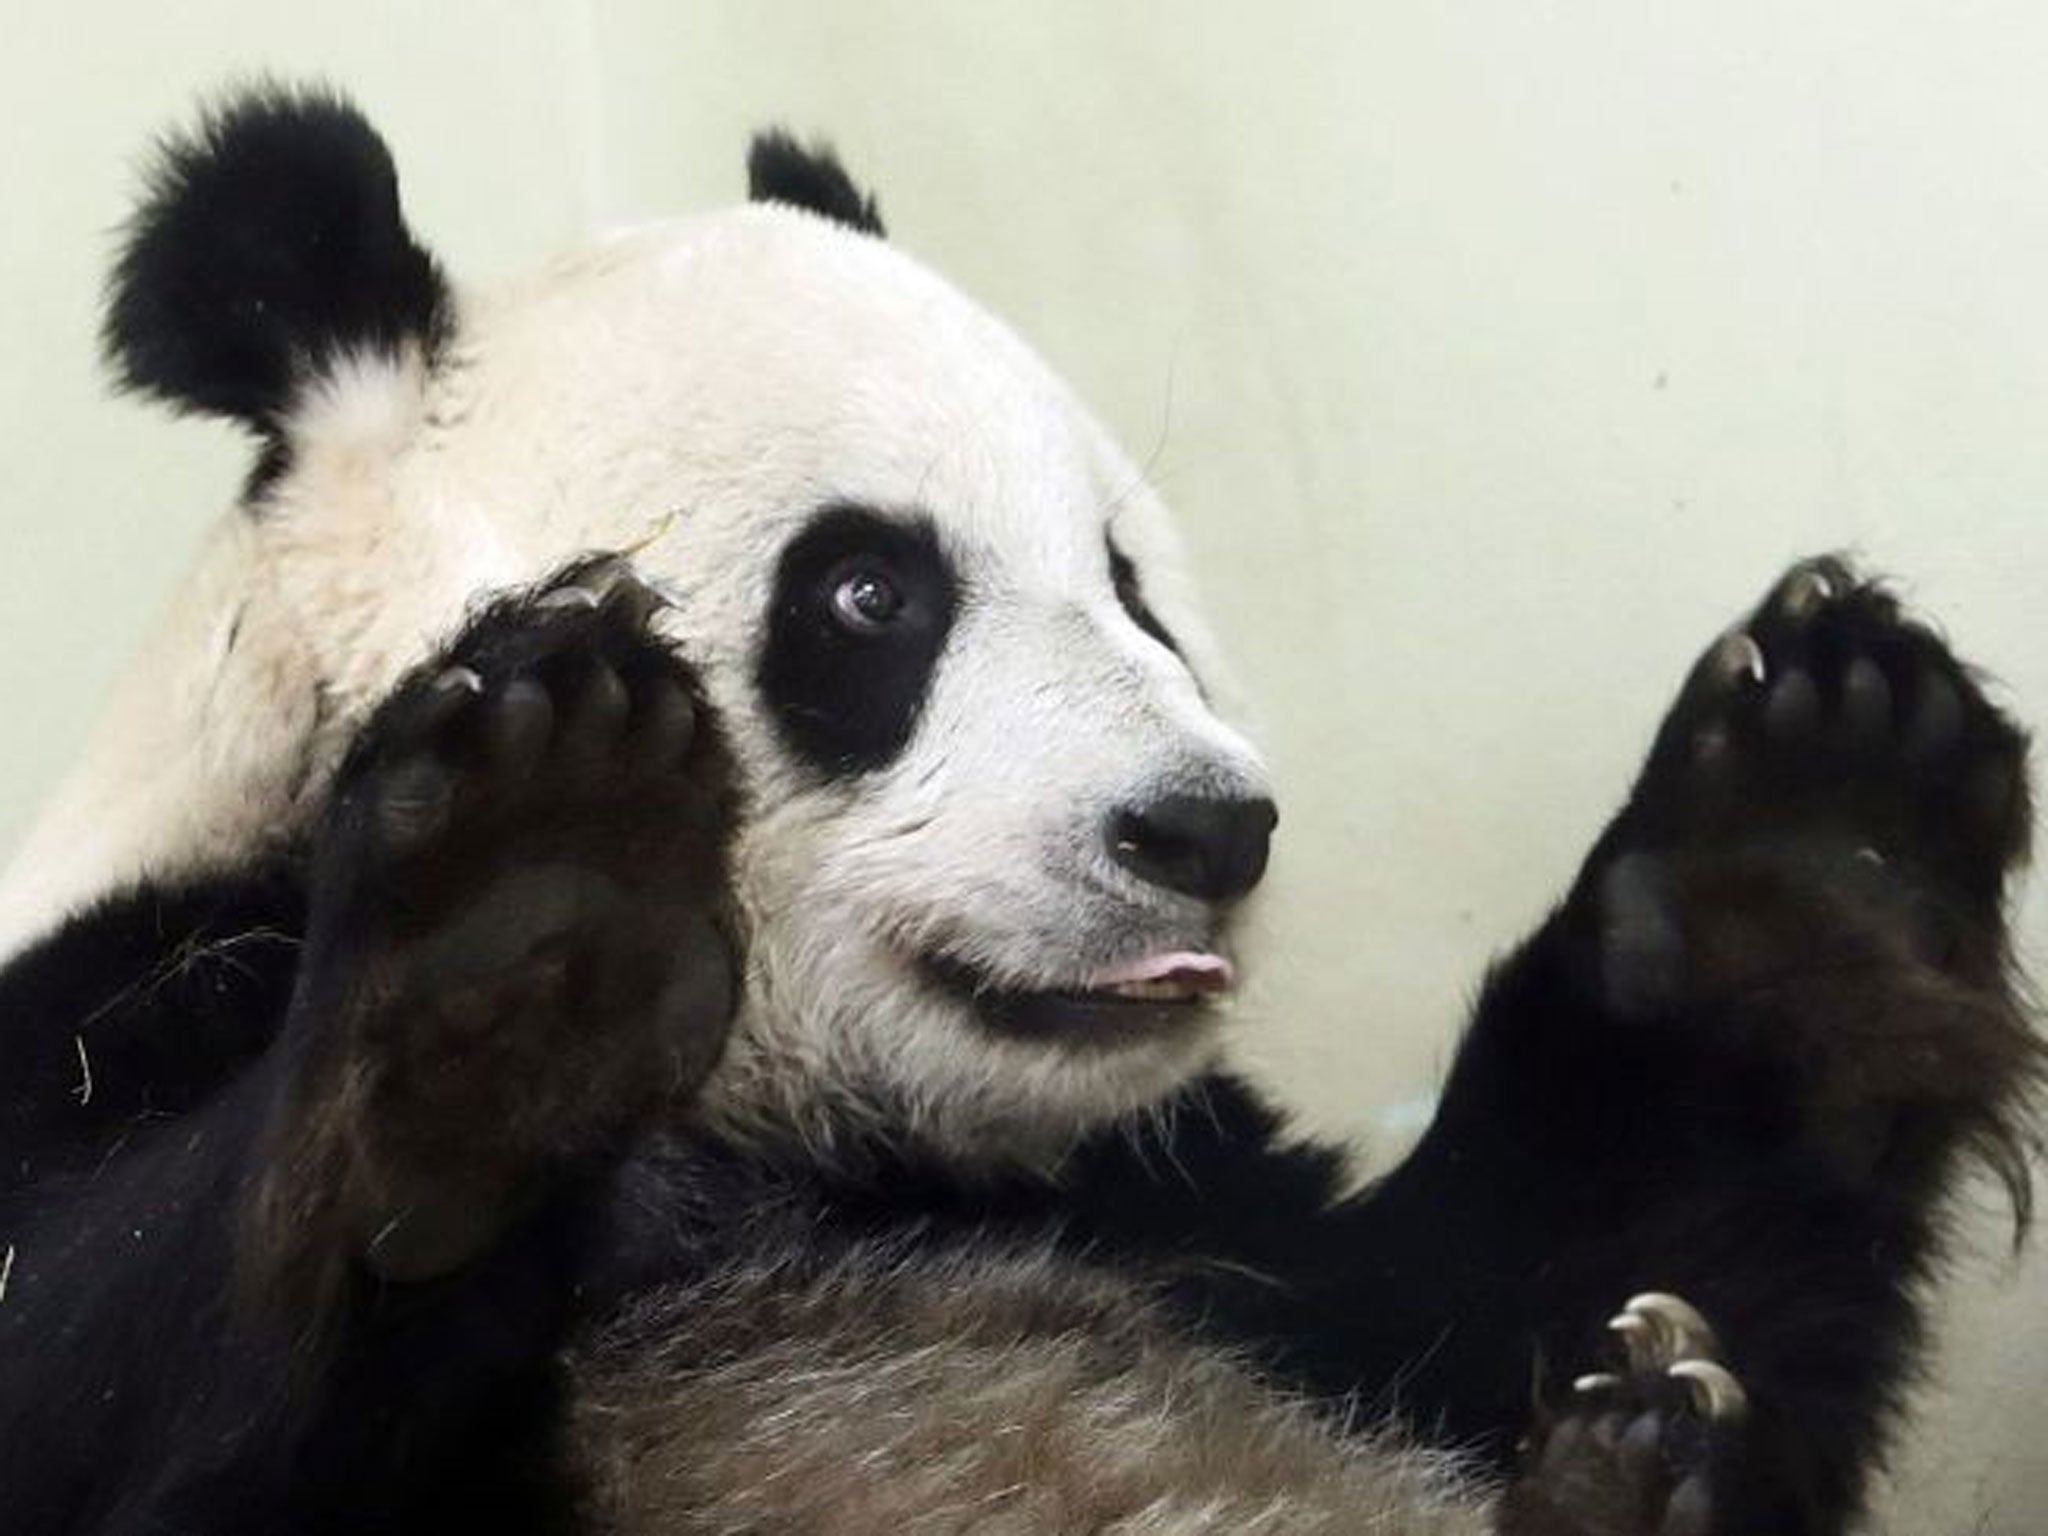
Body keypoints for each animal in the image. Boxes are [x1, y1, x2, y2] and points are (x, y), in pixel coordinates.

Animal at [0, 83, 2031, 1536]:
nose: (1205, 834)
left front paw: (1820, 822)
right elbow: (98, 1366)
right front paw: (523, 910)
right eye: (868, 594)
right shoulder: (134, 983)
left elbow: (1562, 1278)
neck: (802, 1136)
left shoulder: (1190, 1218)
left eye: (1132, 583)